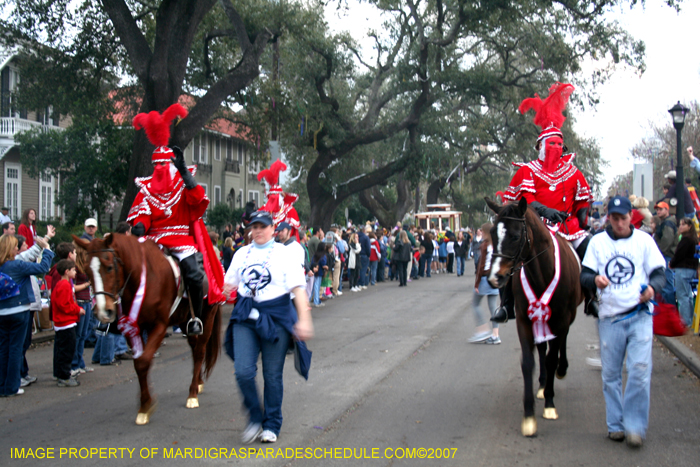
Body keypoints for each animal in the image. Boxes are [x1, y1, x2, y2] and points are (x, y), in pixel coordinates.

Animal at [74, 236, 221, 426]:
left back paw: (192, 394)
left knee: (200, 351)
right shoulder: (133, 327)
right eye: (86, 270)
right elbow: (139, 364)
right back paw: (198, 382)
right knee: (195, 348)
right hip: (184, 321)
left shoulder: (159, 325)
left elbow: (144, 361)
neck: (143, 277)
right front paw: (145, 406)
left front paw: (146, 406)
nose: (103, 312)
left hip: (207, 316)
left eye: (109, 267)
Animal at [484, 198, 584, 438]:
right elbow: (529, 362)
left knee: (560, 344)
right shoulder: (524, 320)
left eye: (515, 236)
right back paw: (542, 384)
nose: (494, 278)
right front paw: (529, 416)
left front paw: (549, 405)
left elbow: (552, 356)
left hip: (565, 318)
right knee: (541, 347)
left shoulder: (561, 319)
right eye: (493, 233)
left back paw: (560, 371)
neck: (542, 273)